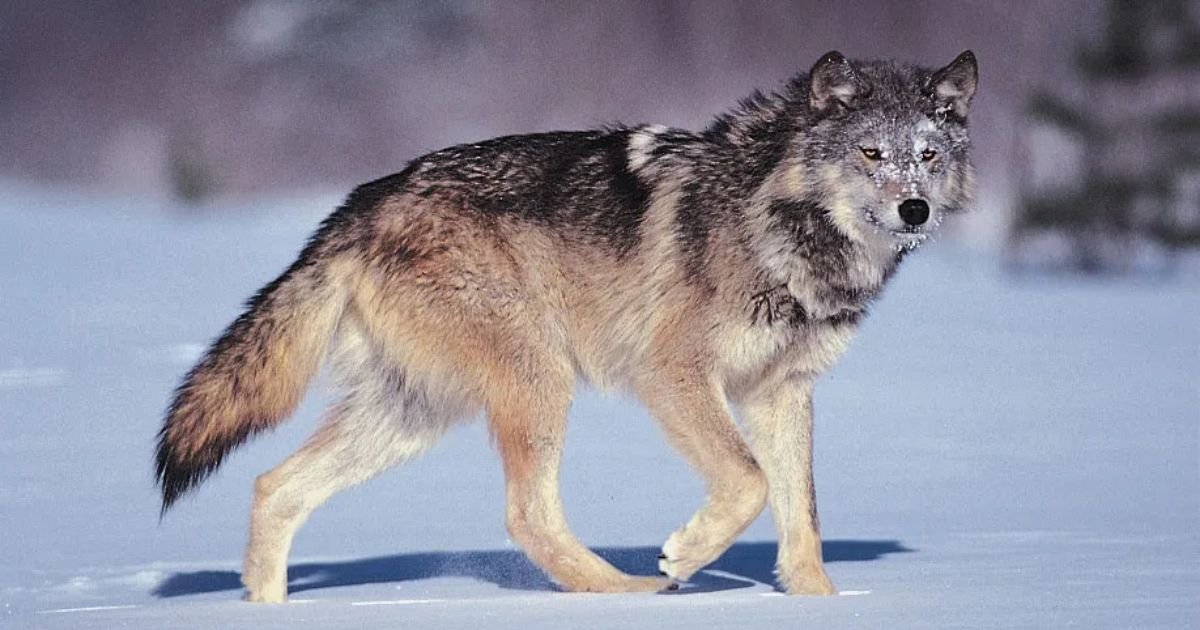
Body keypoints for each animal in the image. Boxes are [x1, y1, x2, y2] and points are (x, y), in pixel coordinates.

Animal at [155, 50, 977, 601]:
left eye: (927, 156)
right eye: (870, 153)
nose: (914, 210)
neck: (780, 227)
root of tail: (362, 203)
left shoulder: (784, 389)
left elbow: (799, 511)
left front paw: (820, 605)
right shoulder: (673, 374)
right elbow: (747, 482)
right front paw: (684, 557)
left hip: (413, 415)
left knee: (273, 486)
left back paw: (265, 609)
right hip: (537, 378)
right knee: (526, 516)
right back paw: (629, 594)